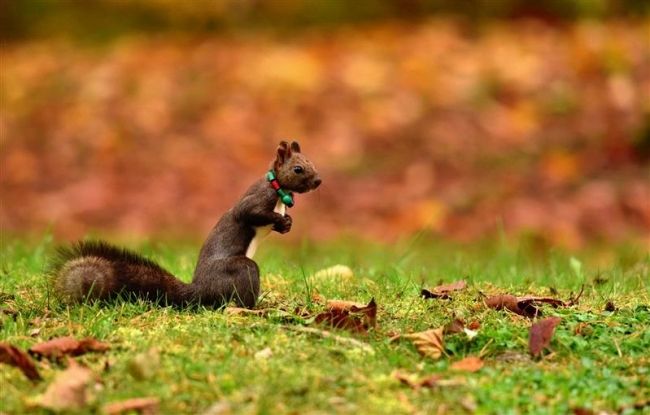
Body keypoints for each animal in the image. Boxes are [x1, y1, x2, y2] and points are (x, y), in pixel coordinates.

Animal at [52, 142, 320, 308]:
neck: (279, 191)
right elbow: (249, 213)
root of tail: (200, 291)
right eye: (298, 169)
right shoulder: (256, 199)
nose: (318, 181)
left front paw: (287, 224)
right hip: (242, 269)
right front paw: (280, 220)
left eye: (311, 162)